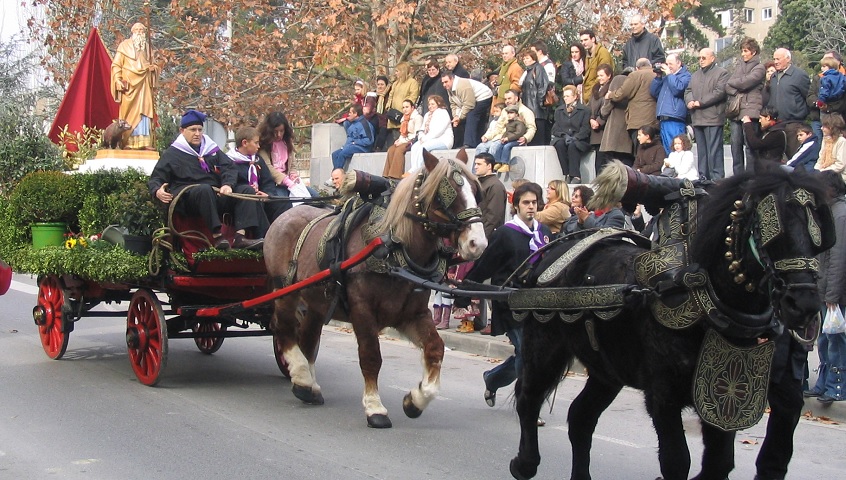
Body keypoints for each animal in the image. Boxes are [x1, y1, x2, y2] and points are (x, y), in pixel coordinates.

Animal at [264, 152, 490, 426]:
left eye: (476, 192)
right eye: (446, 193)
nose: (477, 243)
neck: (392, 251)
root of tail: (284, 216)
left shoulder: (412, 315)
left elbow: (435, 348)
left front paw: (416, 399)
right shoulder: (363, 311)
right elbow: (371, 356)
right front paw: (375, 407)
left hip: (317, 301)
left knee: (307, 338)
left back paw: (309, 386)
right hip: (285, 291)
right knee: (284, 328)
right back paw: (301, 375)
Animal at [510, 166, 836, 480]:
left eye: (818, 232)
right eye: (772, 227)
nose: (804, 304)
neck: (704, 297)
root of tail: (546, 257)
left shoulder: (724, 391)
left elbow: (718, 462)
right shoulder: (664, 395)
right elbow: (677, 462)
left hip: (608, 370)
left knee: (580, 418)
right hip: (544, 348)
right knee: (529, 399)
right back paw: (524, 463)